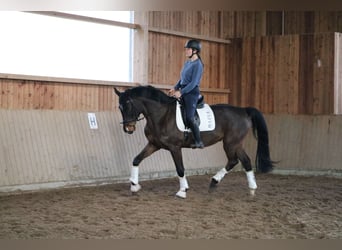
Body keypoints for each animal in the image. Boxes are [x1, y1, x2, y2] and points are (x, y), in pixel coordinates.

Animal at [115, 85, 276, 198]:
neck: (162, 115)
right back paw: (250, 188)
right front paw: (134, 185)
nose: (128, 128)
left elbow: (180, 168)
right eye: (120, 107)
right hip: (236, 143)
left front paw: (182, 191)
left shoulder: (175, 147)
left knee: (234, 160)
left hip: (231, 143)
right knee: (245, 161)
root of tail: (243, 111)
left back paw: (216, 181)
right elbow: (136, 159)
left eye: (128, 104)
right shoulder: (154, 145)